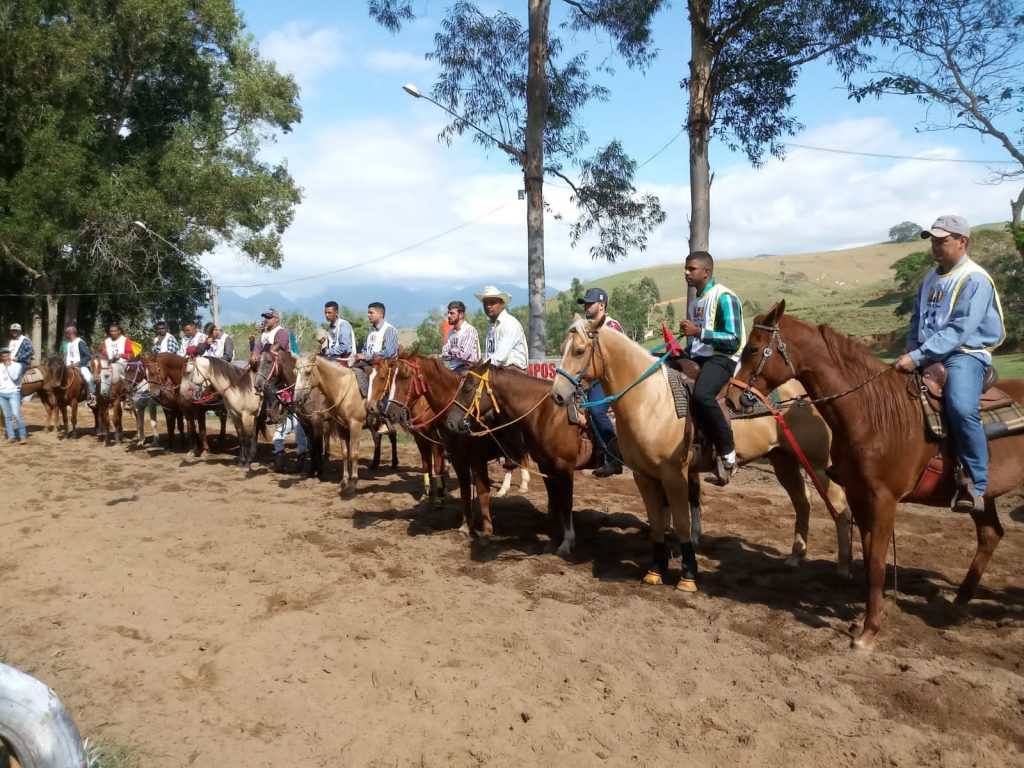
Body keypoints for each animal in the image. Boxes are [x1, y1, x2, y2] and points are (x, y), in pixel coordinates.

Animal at [292, 354, 364, 495]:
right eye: (295, 372)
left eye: (308, 372)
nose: (297, 399)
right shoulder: (308, 425)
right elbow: (343, 453)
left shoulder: (320, 423)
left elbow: (352, 453)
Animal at [552, 315, 856, 593]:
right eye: (562, 347)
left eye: (579, 351)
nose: (557, 395)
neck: (651, 400)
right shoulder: (644, 476)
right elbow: (657, 524)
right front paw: (655, 570)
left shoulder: (675, 475)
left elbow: (683, 524)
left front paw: (687, 575)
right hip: (784, 461)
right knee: (802, 502)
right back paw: (796, 556)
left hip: (818, 464)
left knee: (840, 505)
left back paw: (843, 567)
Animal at [729, 301, 1024, 651]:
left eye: (753, 348)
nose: (730, 399)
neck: (871, 413)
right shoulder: (859, 494)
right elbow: (869, 556)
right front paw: (863, 618)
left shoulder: (884, 499)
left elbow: (877, 563)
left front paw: (868, 632)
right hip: (982, 498)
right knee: (990, 535)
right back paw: (957, 604)